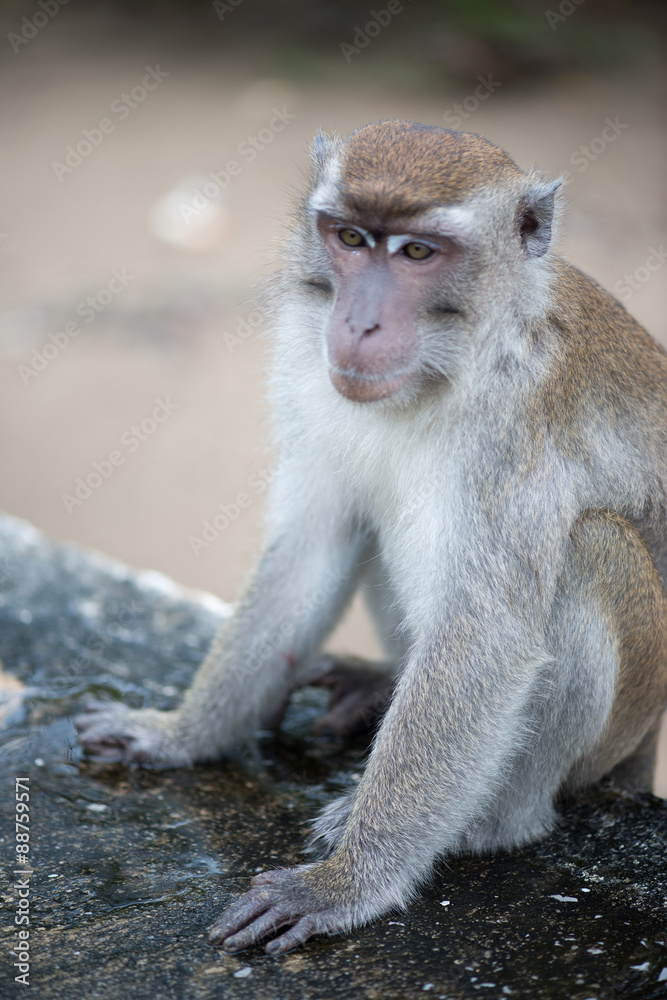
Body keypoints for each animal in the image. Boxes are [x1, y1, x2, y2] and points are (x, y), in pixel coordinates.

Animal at [76, 120, 667, 956]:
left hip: (617, 729)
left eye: (417, 253)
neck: (445, 367)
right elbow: (309, 550)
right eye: (351, 238)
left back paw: (489, 822)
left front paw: (346, 882)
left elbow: (484, 640)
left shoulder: (513, 432)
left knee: (589, 552)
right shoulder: (308, 368)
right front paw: (180, 734)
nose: (358, 323)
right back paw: (376, 688)